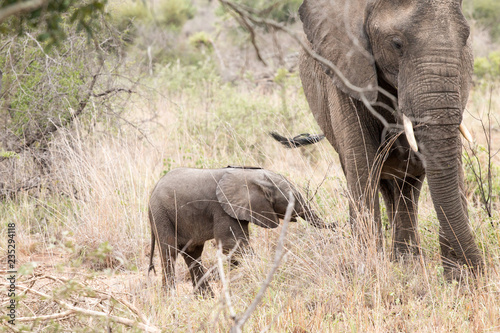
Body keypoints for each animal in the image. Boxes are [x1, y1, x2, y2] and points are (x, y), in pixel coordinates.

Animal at [148, 166, 328, 296]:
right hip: (162, 215)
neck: (250, 175)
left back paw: (206, 297)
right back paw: (170, 298)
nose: (334, 225)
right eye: (294, 201)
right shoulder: (222, 209)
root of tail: (151, 196)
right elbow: (232, 244)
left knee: (193, 253)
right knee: (170, 253)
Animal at [292, 0, 482, 276]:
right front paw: (368, 272)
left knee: (407, 187)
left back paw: (407, 263)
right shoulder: (344, 73)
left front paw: (460, 278)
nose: (478, 269)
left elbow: (451, 162)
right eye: (397, 43)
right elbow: (362, 167)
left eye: (465, 39)